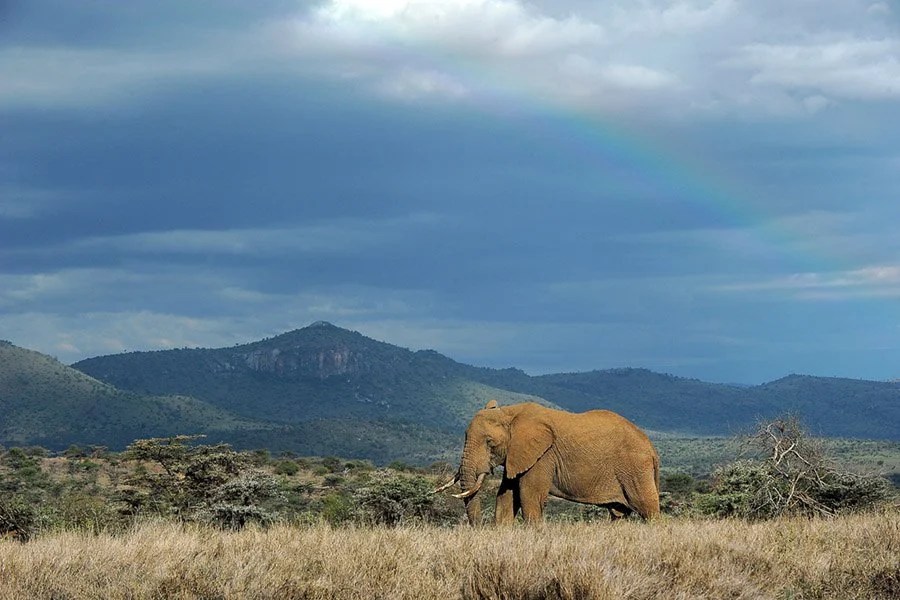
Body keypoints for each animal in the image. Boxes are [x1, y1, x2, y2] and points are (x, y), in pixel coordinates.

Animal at [434, 400, 660, 525]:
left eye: (490, 442)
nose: (479, 527)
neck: (510, 412)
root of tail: (651, 448)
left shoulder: (543, 456)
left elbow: (529, 496)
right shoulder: (517, 455)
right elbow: (506, 496)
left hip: (635, 468)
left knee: (648, 508)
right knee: (619, 514)